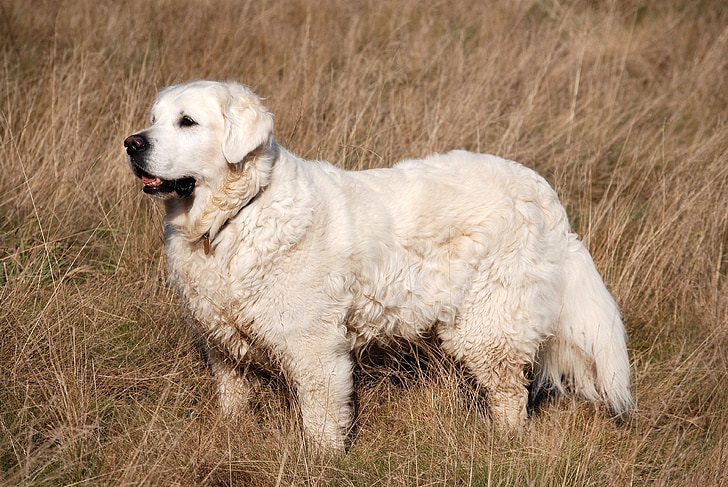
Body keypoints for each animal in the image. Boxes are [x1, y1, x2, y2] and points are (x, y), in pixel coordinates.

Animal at [123, 81, 632, 454]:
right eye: (154, 119)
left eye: (187, 121)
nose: (131, 143)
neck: (237, 216)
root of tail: (544, 194)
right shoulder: (221, 339)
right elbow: (233, 397)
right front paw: (231, 435)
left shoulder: (313, 349)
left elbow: (321, 420)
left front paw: (322, 464)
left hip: (489, 324)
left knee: (509, 395)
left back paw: (504, 444)